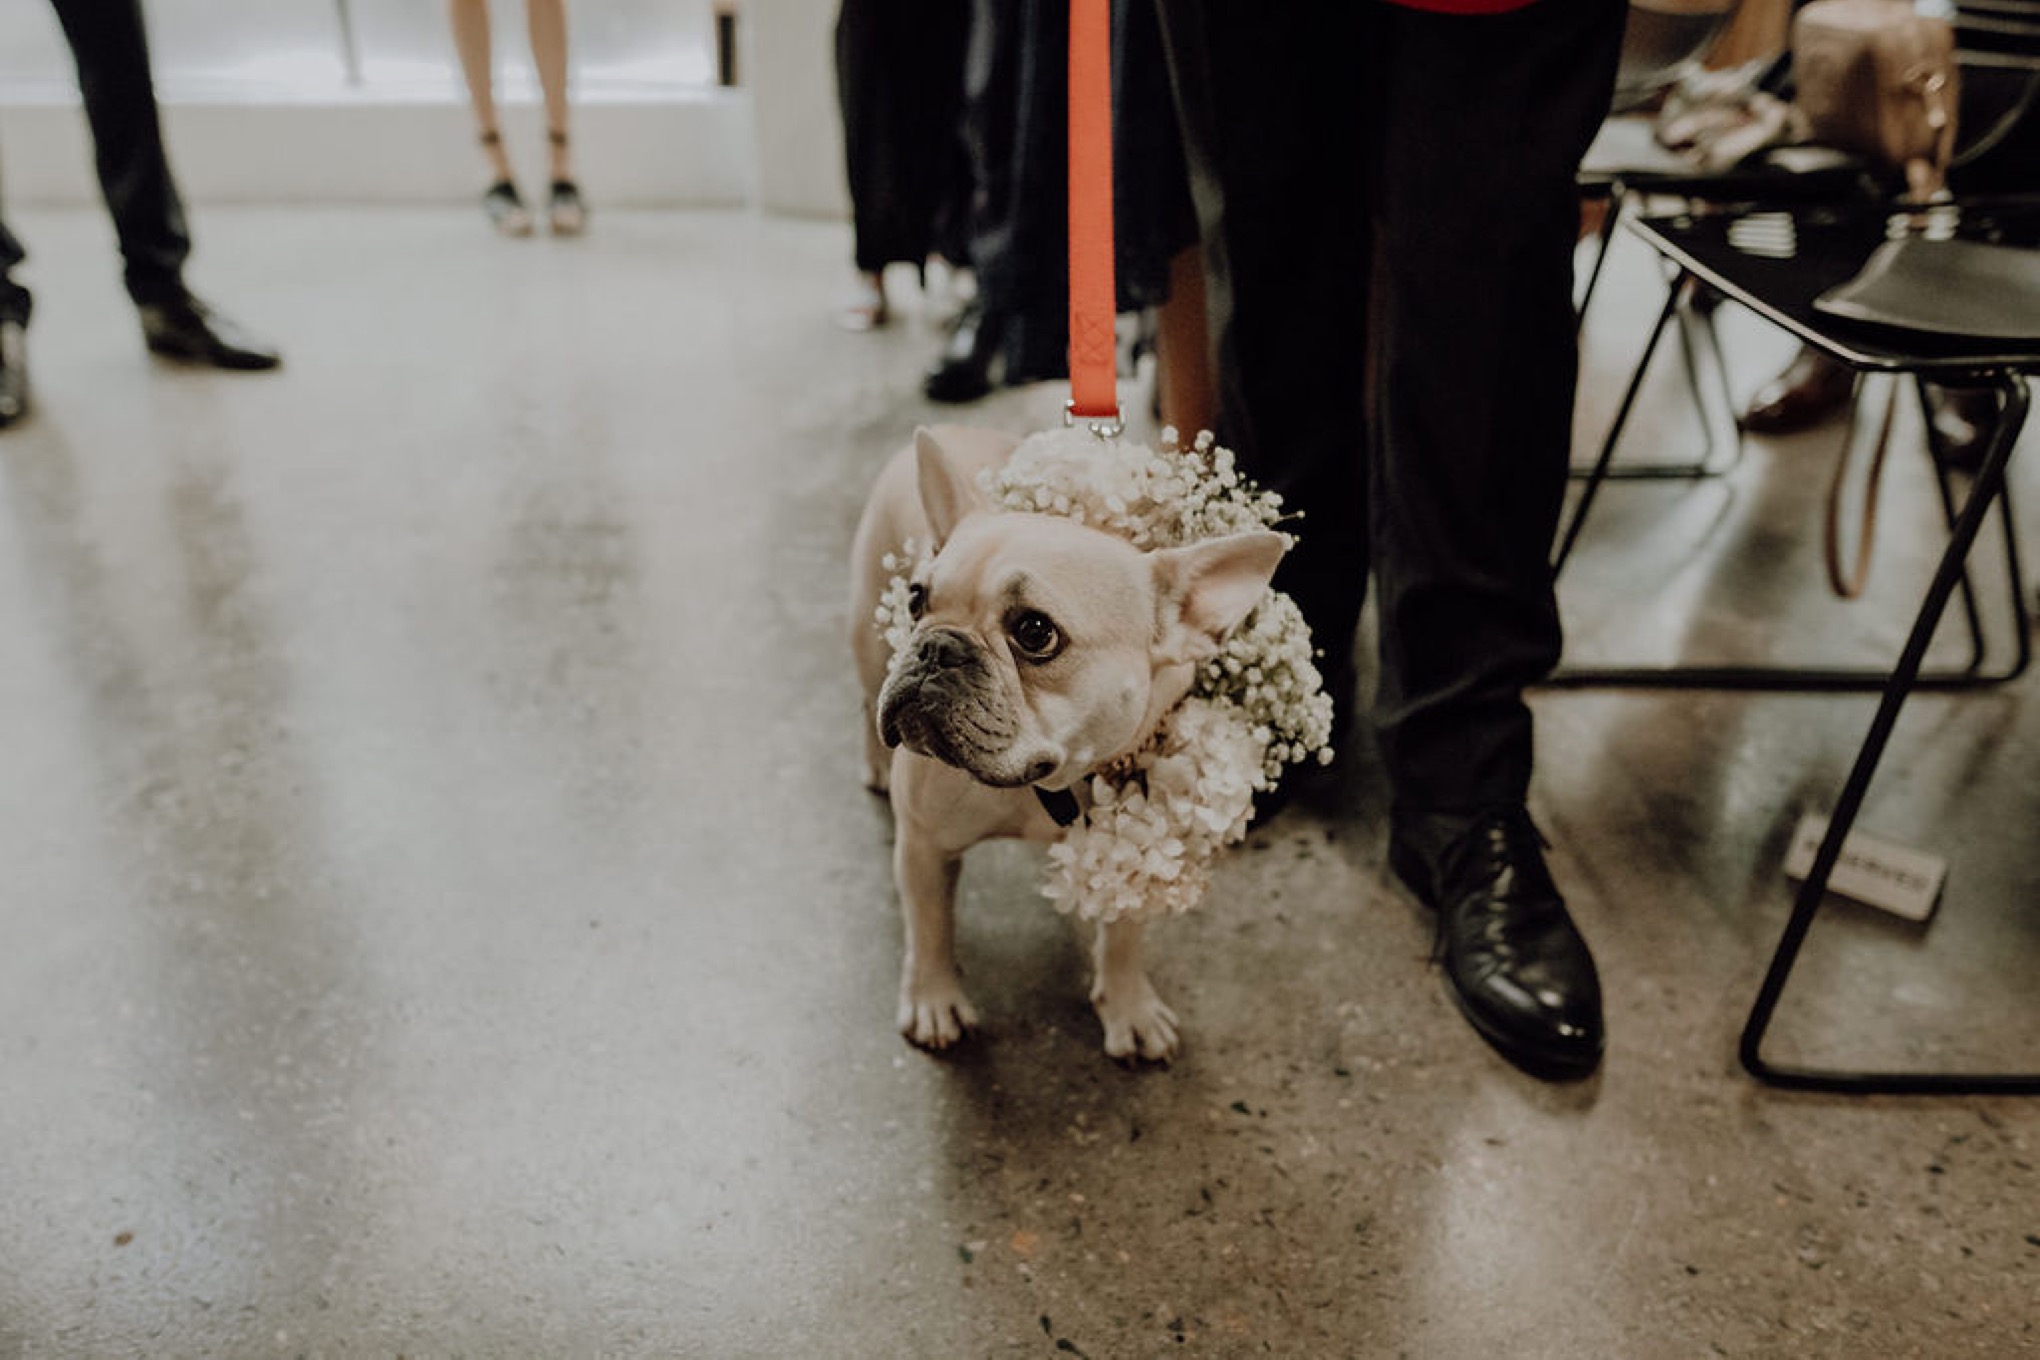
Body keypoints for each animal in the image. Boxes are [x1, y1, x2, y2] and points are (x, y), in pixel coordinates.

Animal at [852, 426, 1281, 1060]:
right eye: (915, 601)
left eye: (1035, 632)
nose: (936, 646)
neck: (1047, 784)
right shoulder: (924, 845)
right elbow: (929, 927)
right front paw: (933, 999)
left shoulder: (1136, 850)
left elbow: (1124, 938)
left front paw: (1129, 1005)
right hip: (864, 638)